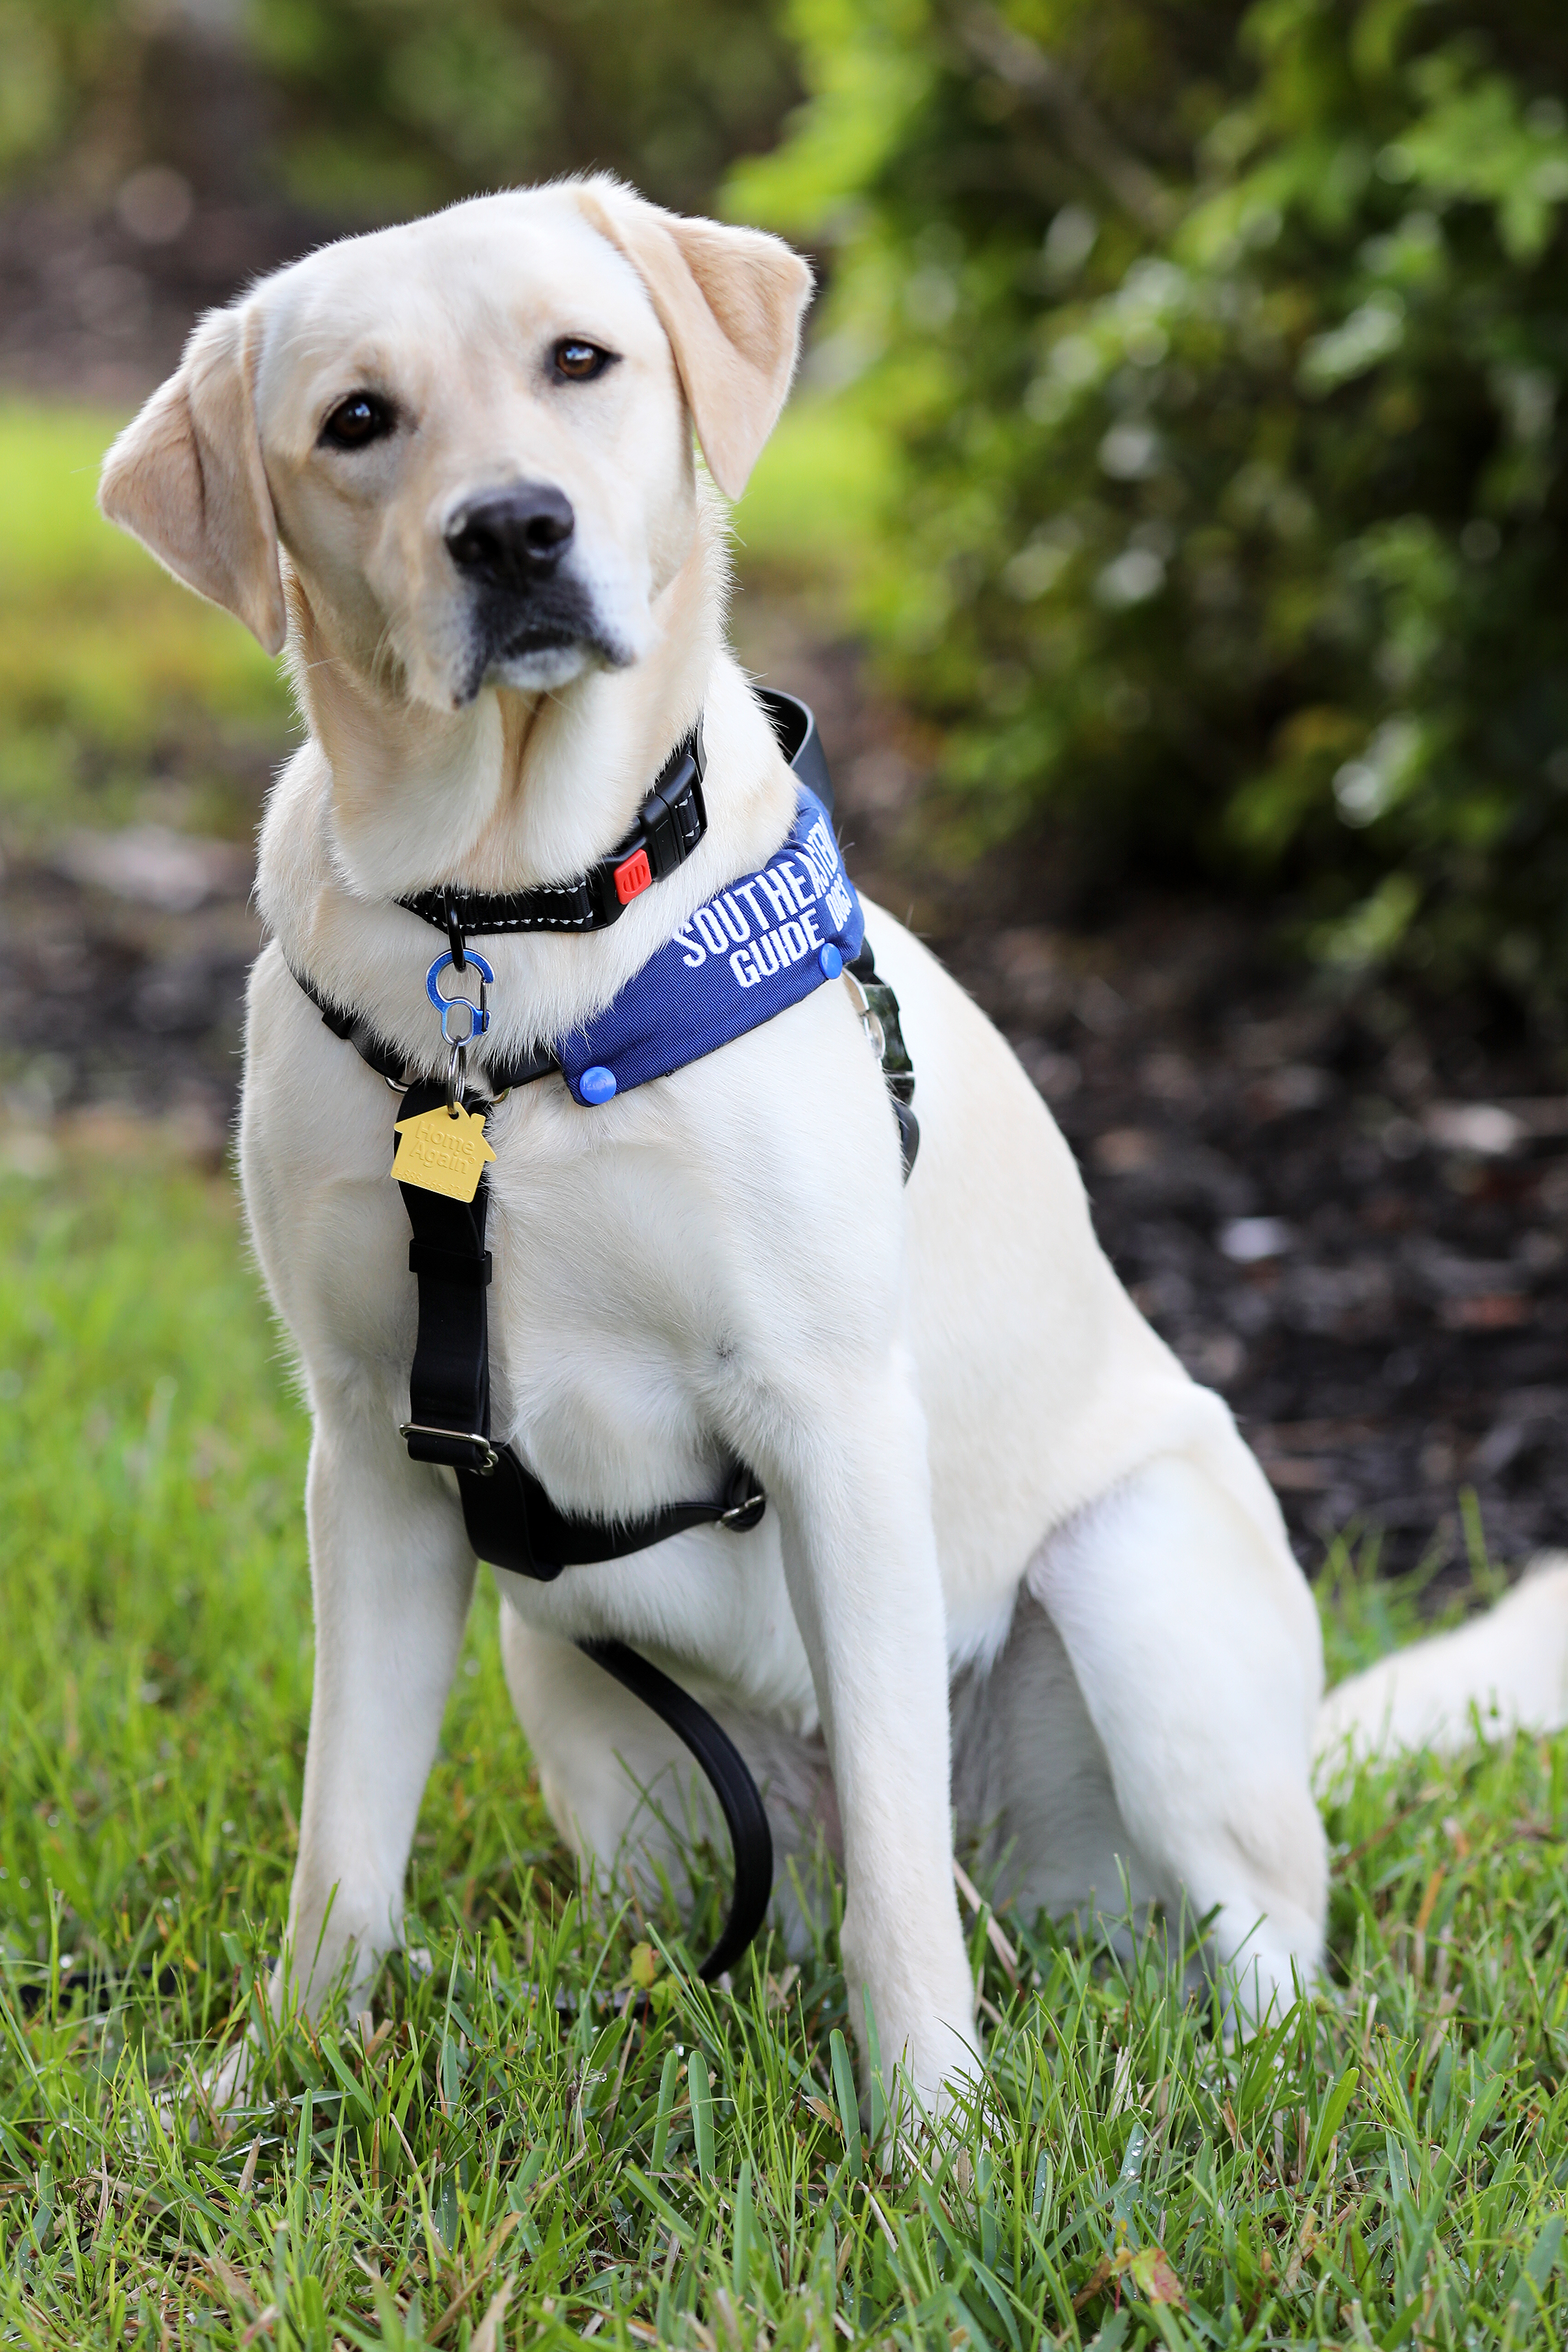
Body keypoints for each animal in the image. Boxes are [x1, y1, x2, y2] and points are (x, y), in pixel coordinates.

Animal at [101, 174, 1568, 2107]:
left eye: (581, 360)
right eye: (357, 421)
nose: (513, 531)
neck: (520, 924)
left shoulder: (832, 1413)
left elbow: (894, 1858)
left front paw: (932, 2128)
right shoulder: (374, 1451)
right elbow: (345, 1840)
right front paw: (277, 2076)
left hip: (1135, 1581)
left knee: (1225, 1942)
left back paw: (1237, 2059)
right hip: (584, 1705)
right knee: (771, 1912)